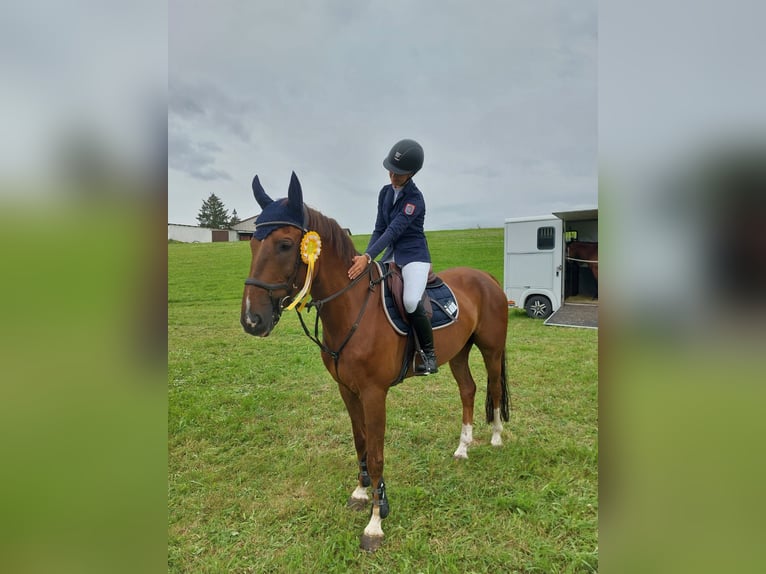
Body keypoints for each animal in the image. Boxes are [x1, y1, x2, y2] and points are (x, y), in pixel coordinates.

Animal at [243, 172, 512, 552]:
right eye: (252, 245)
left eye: (283, 244)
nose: (252, 320)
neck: (353, 307)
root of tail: (486, 277)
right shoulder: (347, 389)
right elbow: (360, 441)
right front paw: (360, 491)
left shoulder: (373, 393)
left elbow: (377, 452)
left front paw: (375, 521)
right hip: (459, 353)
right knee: (468, 390)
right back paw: (463, 448)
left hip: (491, 349)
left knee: (495, 387)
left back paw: (497, 438)